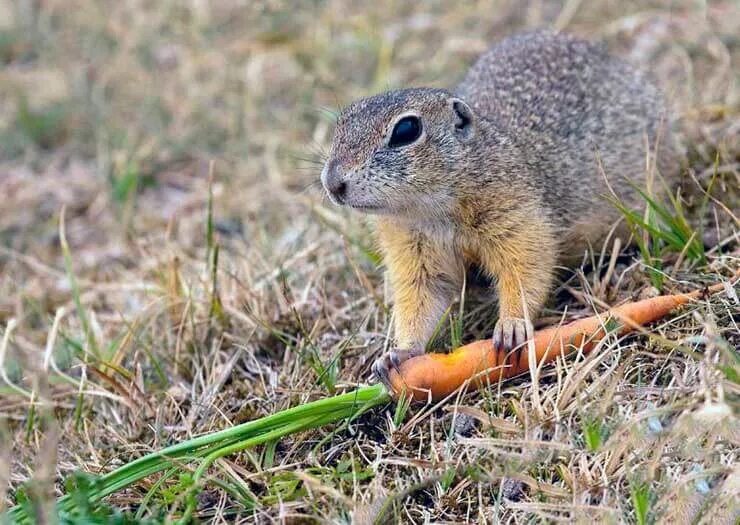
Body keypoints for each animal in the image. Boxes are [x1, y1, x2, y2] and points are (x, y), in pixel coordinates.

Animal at [318, 29, 676, 384]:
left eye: (407, 130)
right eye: (342, 123)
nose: (332, 182)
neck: (431, 211)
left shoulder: (517, 215)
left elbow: (525, 268)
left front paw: (511, 327)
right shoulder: (412, 250)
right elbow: (419, 298)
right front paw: (397, 354)